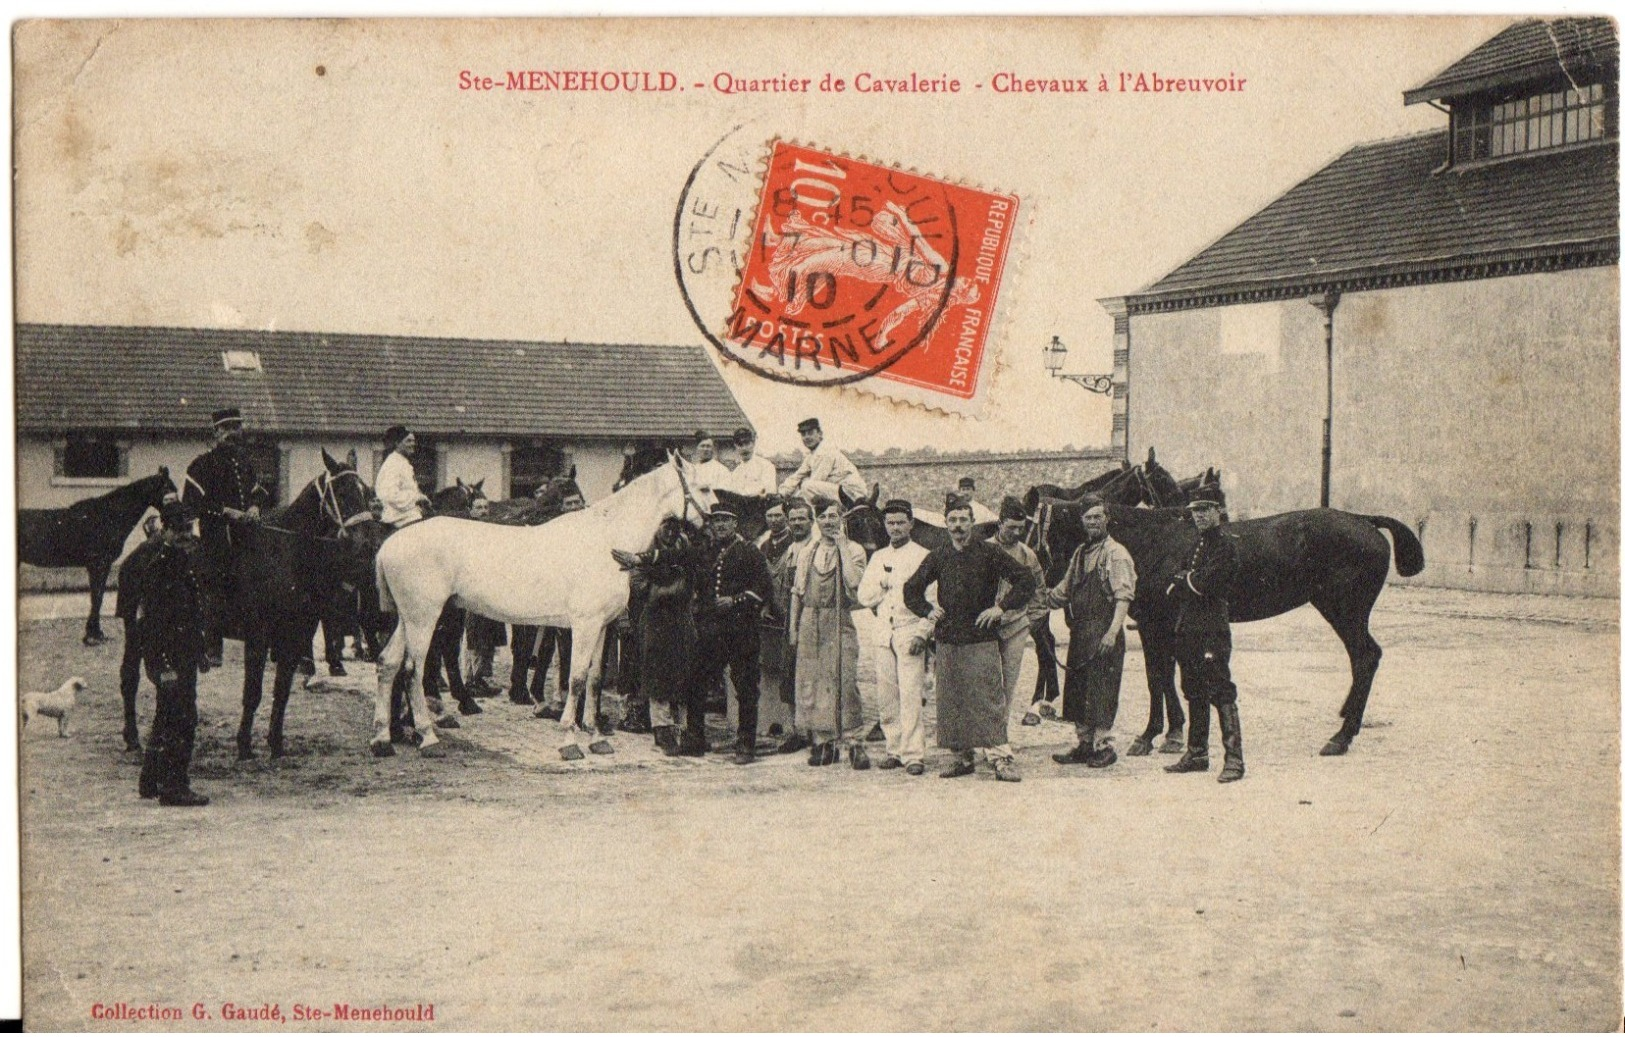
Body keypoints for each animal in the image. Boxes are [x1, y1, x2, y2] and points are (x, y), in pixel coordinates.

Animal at [17, 474, 177, 650]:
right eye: (169, 492)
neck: (107, 517)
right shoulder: (99, 564)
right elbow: (97, 598)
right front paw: (93, 636)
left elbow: (97, 597)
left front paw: (94, 633)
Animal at [227, 451, 372, 760]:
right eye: (342, 492)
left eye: (365, 491)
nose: (366, 543)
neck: (285, 553)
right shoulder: (258, 636)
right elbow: (253, 692)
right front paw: (244, 745)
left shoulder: (294, 635)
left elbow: (282, 690)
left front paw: (276, 743)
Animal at [380, 451, 718, 760]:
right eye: (703, 488)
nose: (714, 534)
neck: (604, 540)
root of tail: (388, 545)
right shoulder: (584, 625)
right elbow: (576, 678)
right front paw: (569, 740)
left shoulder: (602, 627)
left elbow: (594, 680)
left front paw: (596, 737)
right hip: (424, 618)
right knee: (413, 671)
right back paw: (427, 738)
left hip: (408, 619)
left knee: (387, 664)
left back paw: (383, 739)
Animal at [1040, 500, 1423, 760]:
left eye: (1039, 528)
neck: (1151, 541)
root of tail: (1364, 520)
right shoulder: (1159, 627)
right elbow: (1162, 677)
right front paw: (1169, 733)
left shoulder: (1154, 625)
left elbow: (1157, 677)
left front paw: (1153, 736)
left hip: (1345, 612)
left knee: (1366, 657)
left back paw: (1341, 736)